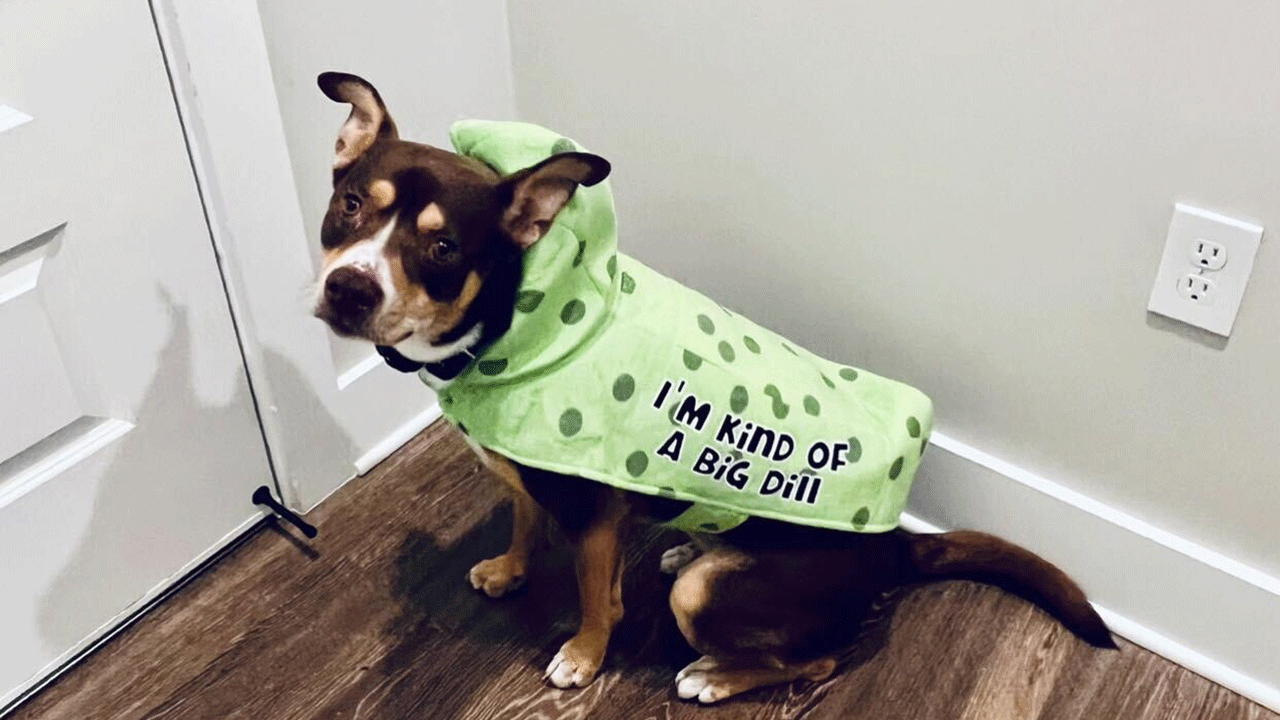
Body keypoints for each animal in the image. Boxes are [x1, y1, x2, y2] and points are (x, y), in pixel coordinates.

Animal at [307, 71, 1111, 702]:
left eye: (444, 247)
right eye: (350, 203)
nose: (349, 290)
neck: (513, 319)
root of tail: (894, 551)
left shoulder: (591, 516)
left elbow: (596, 600)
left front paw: (583, 657)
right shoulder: (530, 474)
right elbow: (523, 519)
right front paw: (509, 570)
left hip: (716, 602)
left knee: (816, 661)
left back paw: (714, 676)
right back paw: (685, 550)